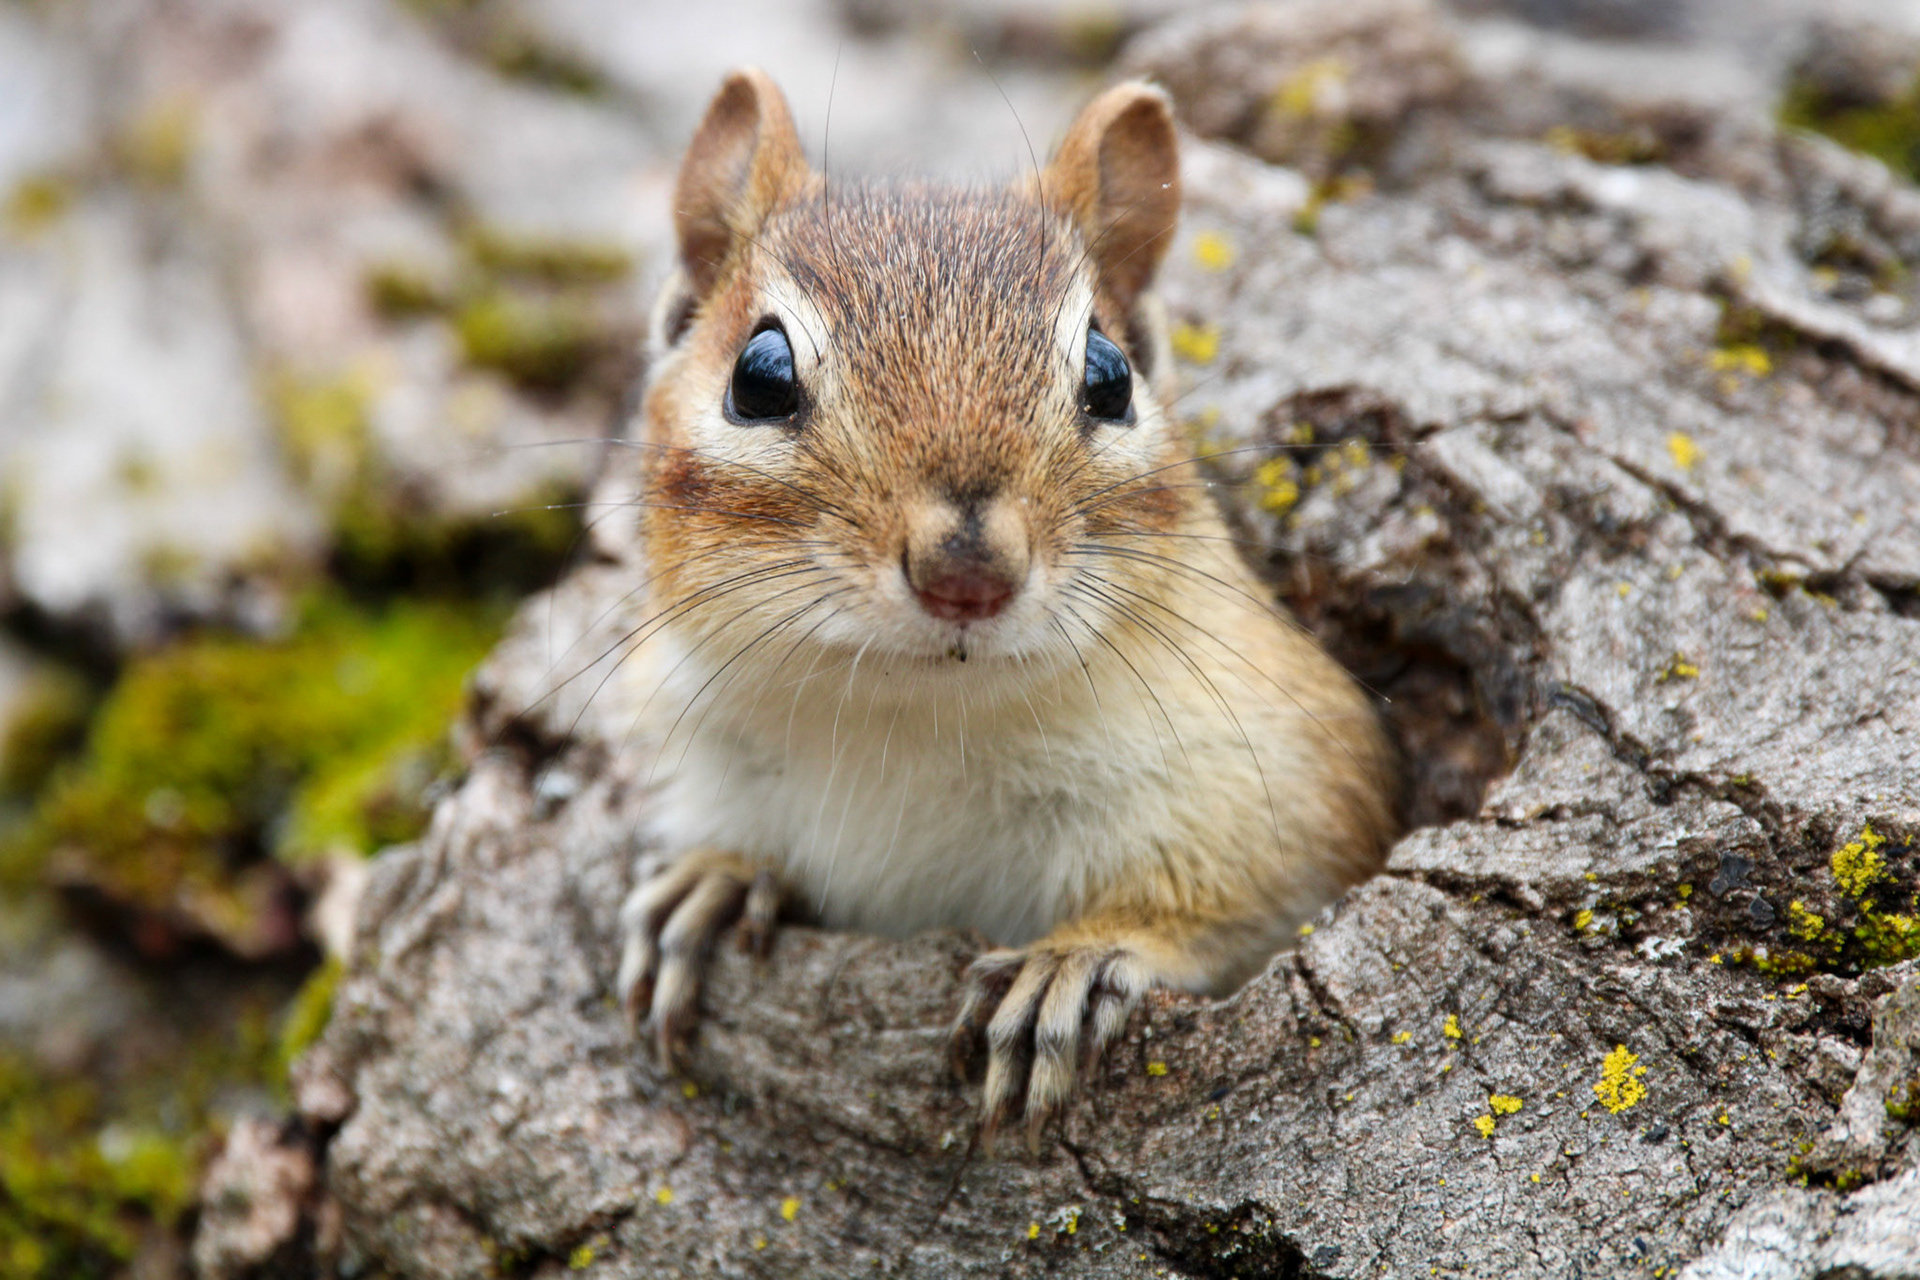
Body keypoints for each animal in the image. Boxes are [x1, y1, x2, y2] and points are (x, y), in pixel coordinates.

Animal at [611, 67, 1398, 1147]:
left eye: (1111, 375)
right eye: (757, 377)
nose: (968, 571)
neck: (916, 724)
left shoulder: (1284, 780)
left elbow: (1227, 910)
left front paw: (1078, 959)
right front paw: (715, 880)